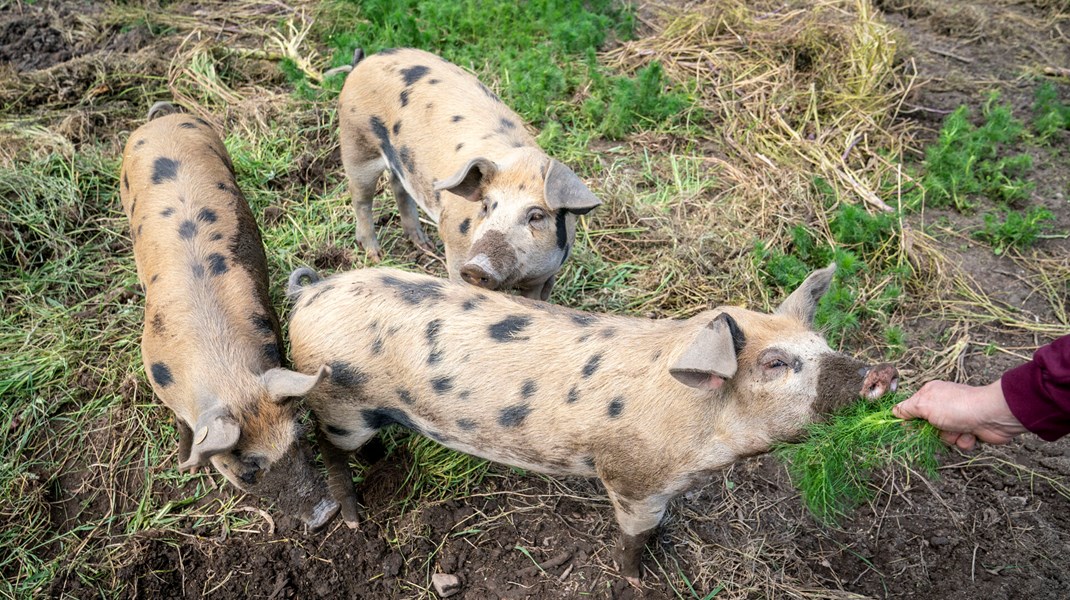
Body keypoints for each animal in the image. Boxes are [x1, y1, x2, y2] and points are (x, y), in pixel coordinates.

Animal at [117, 101, 335, 528]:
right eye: (247, 472)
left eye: (299, 436)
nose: (325, 513)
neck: (226, 375)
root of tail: (160, 120)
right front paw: (185, 461)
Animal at [286, 263, 903, 581]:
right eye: (775, 364)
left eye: (824, 345)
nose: (881, 372)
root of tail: (312, 291)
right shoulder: (632, 479)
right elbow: (633, 536)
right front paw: (635, 577)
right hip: (339, 404)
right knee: (327, 446)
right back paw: (352, 519)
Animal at [338, 47, 603, 301]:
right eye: (486, 206)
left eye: (536, 216)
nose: (477, 267)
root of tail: (363, 62)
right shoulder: (456, 247)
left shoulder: (546, 276)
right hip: (357, 143)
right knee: (361, 198)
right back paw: (375, 254)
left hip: (402, 163)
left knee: (399, 186)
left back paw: (425, 245)